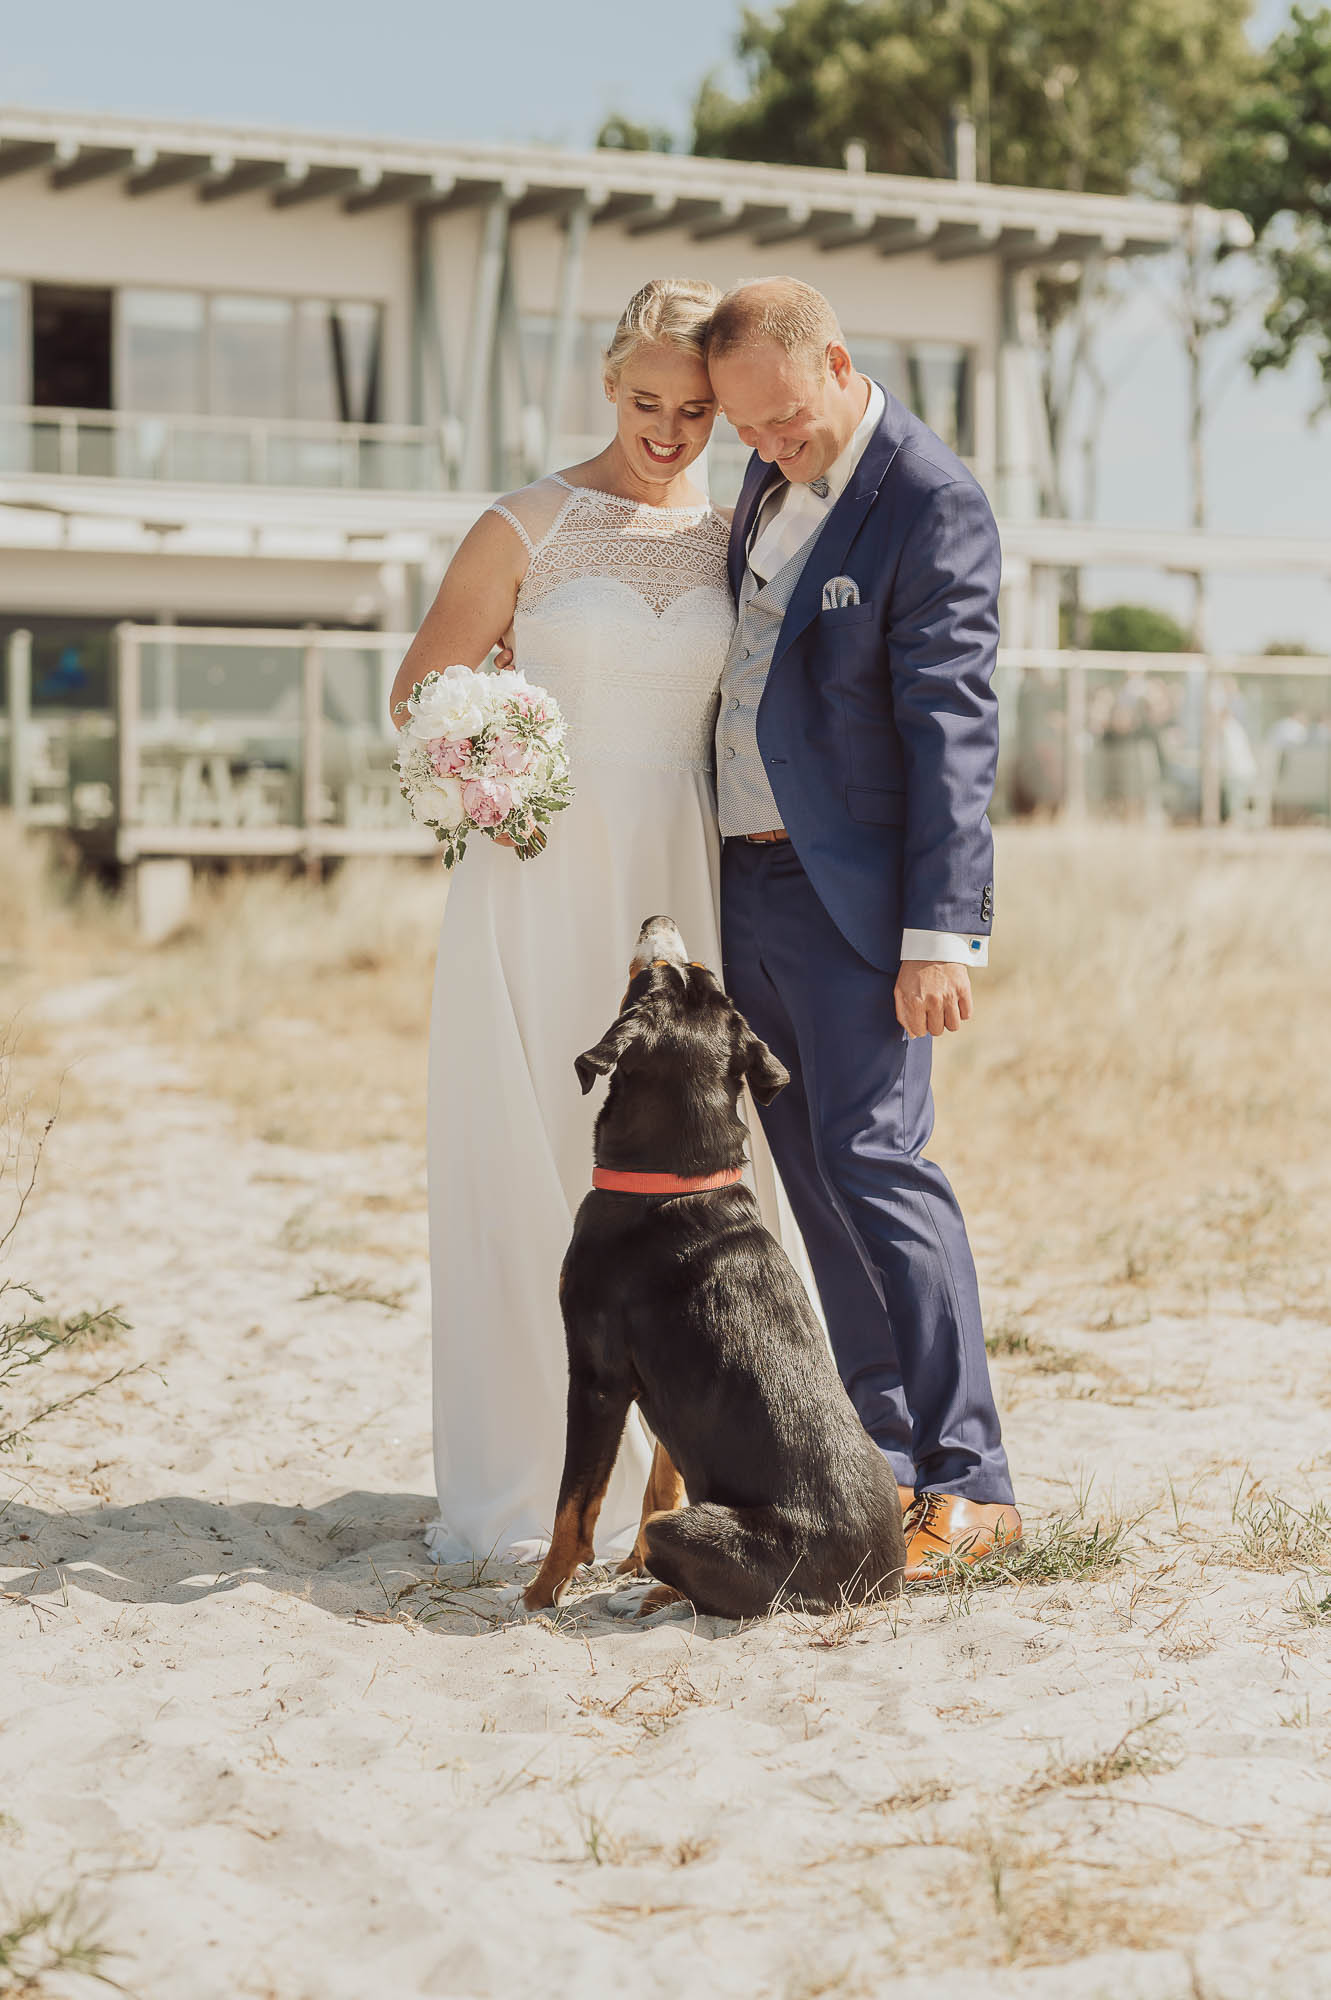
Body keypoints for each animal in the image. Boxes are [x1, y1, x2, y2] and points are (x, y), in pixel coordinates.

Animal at [519, 916, 903, 1616]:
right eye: (694, 975)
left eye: (657, 974)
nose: (661, 920)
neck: (674, 1181)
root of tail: (872, 1587)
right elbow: (659, 1482)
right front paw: (627, 1568)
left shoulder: (596, 1377)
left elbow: (573, 1508)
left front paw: (538, 1596)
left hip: (702, 1534)